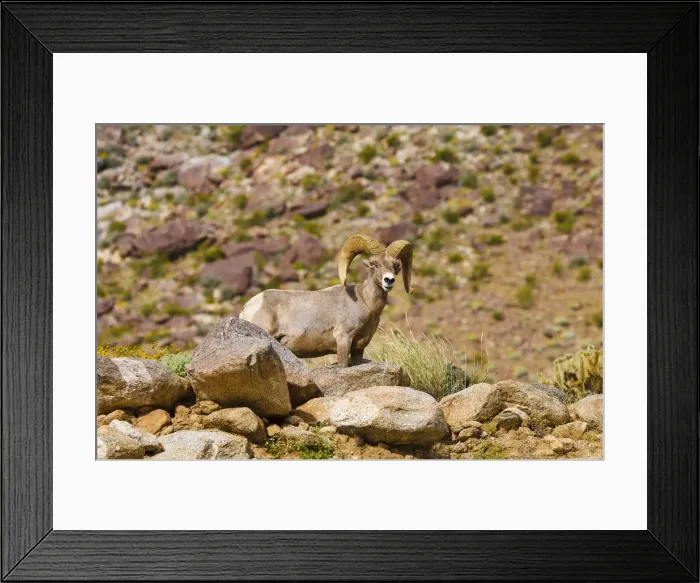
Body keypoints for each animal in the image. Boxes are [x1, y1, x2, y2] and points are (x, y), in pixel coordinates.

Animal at [239, 234, 413, 367]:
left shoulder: (358, 348)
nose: (389, 280)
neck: (365, 303)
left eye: (395, 266)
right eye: (373, 264)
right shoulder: (343, 339)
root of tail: (247, 308)